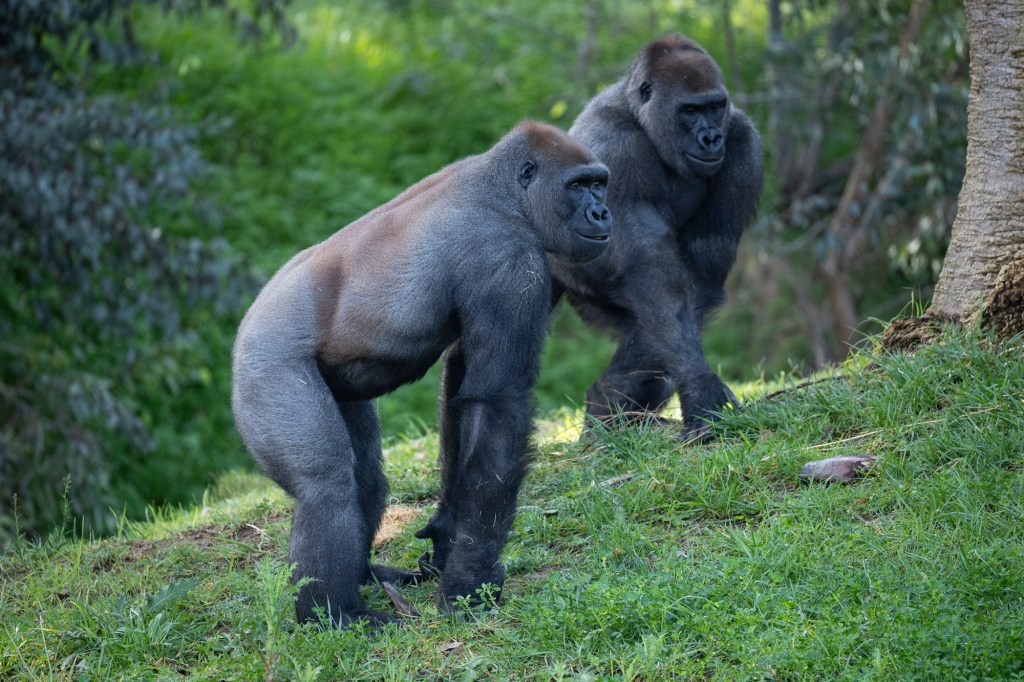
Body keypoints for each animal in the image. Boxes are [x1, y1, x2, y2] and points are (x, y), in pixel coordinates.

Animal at [231, 120, 612, 627]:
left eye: (599, 183)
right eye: (578, 186)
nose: (603, 212)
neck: (503, 193)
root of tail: (244, 328)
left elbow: (466, 391)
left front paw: (448, 537)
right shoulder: (507, 260)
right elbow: (499, 401)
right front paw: (470, 580)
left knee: (365, 477)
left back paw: (365, 577)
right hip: (266, 364)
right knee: (327, 486)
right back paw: (332, 612)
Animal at [550, 33, 763, 438]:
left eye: (715, 107)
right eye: (690, 110)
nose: (711, 138)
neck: (638, 115)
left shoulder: (743, 138)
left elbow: (701, 268)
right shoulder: (616, 148)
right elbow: (650, 269)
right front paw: (700, 388)